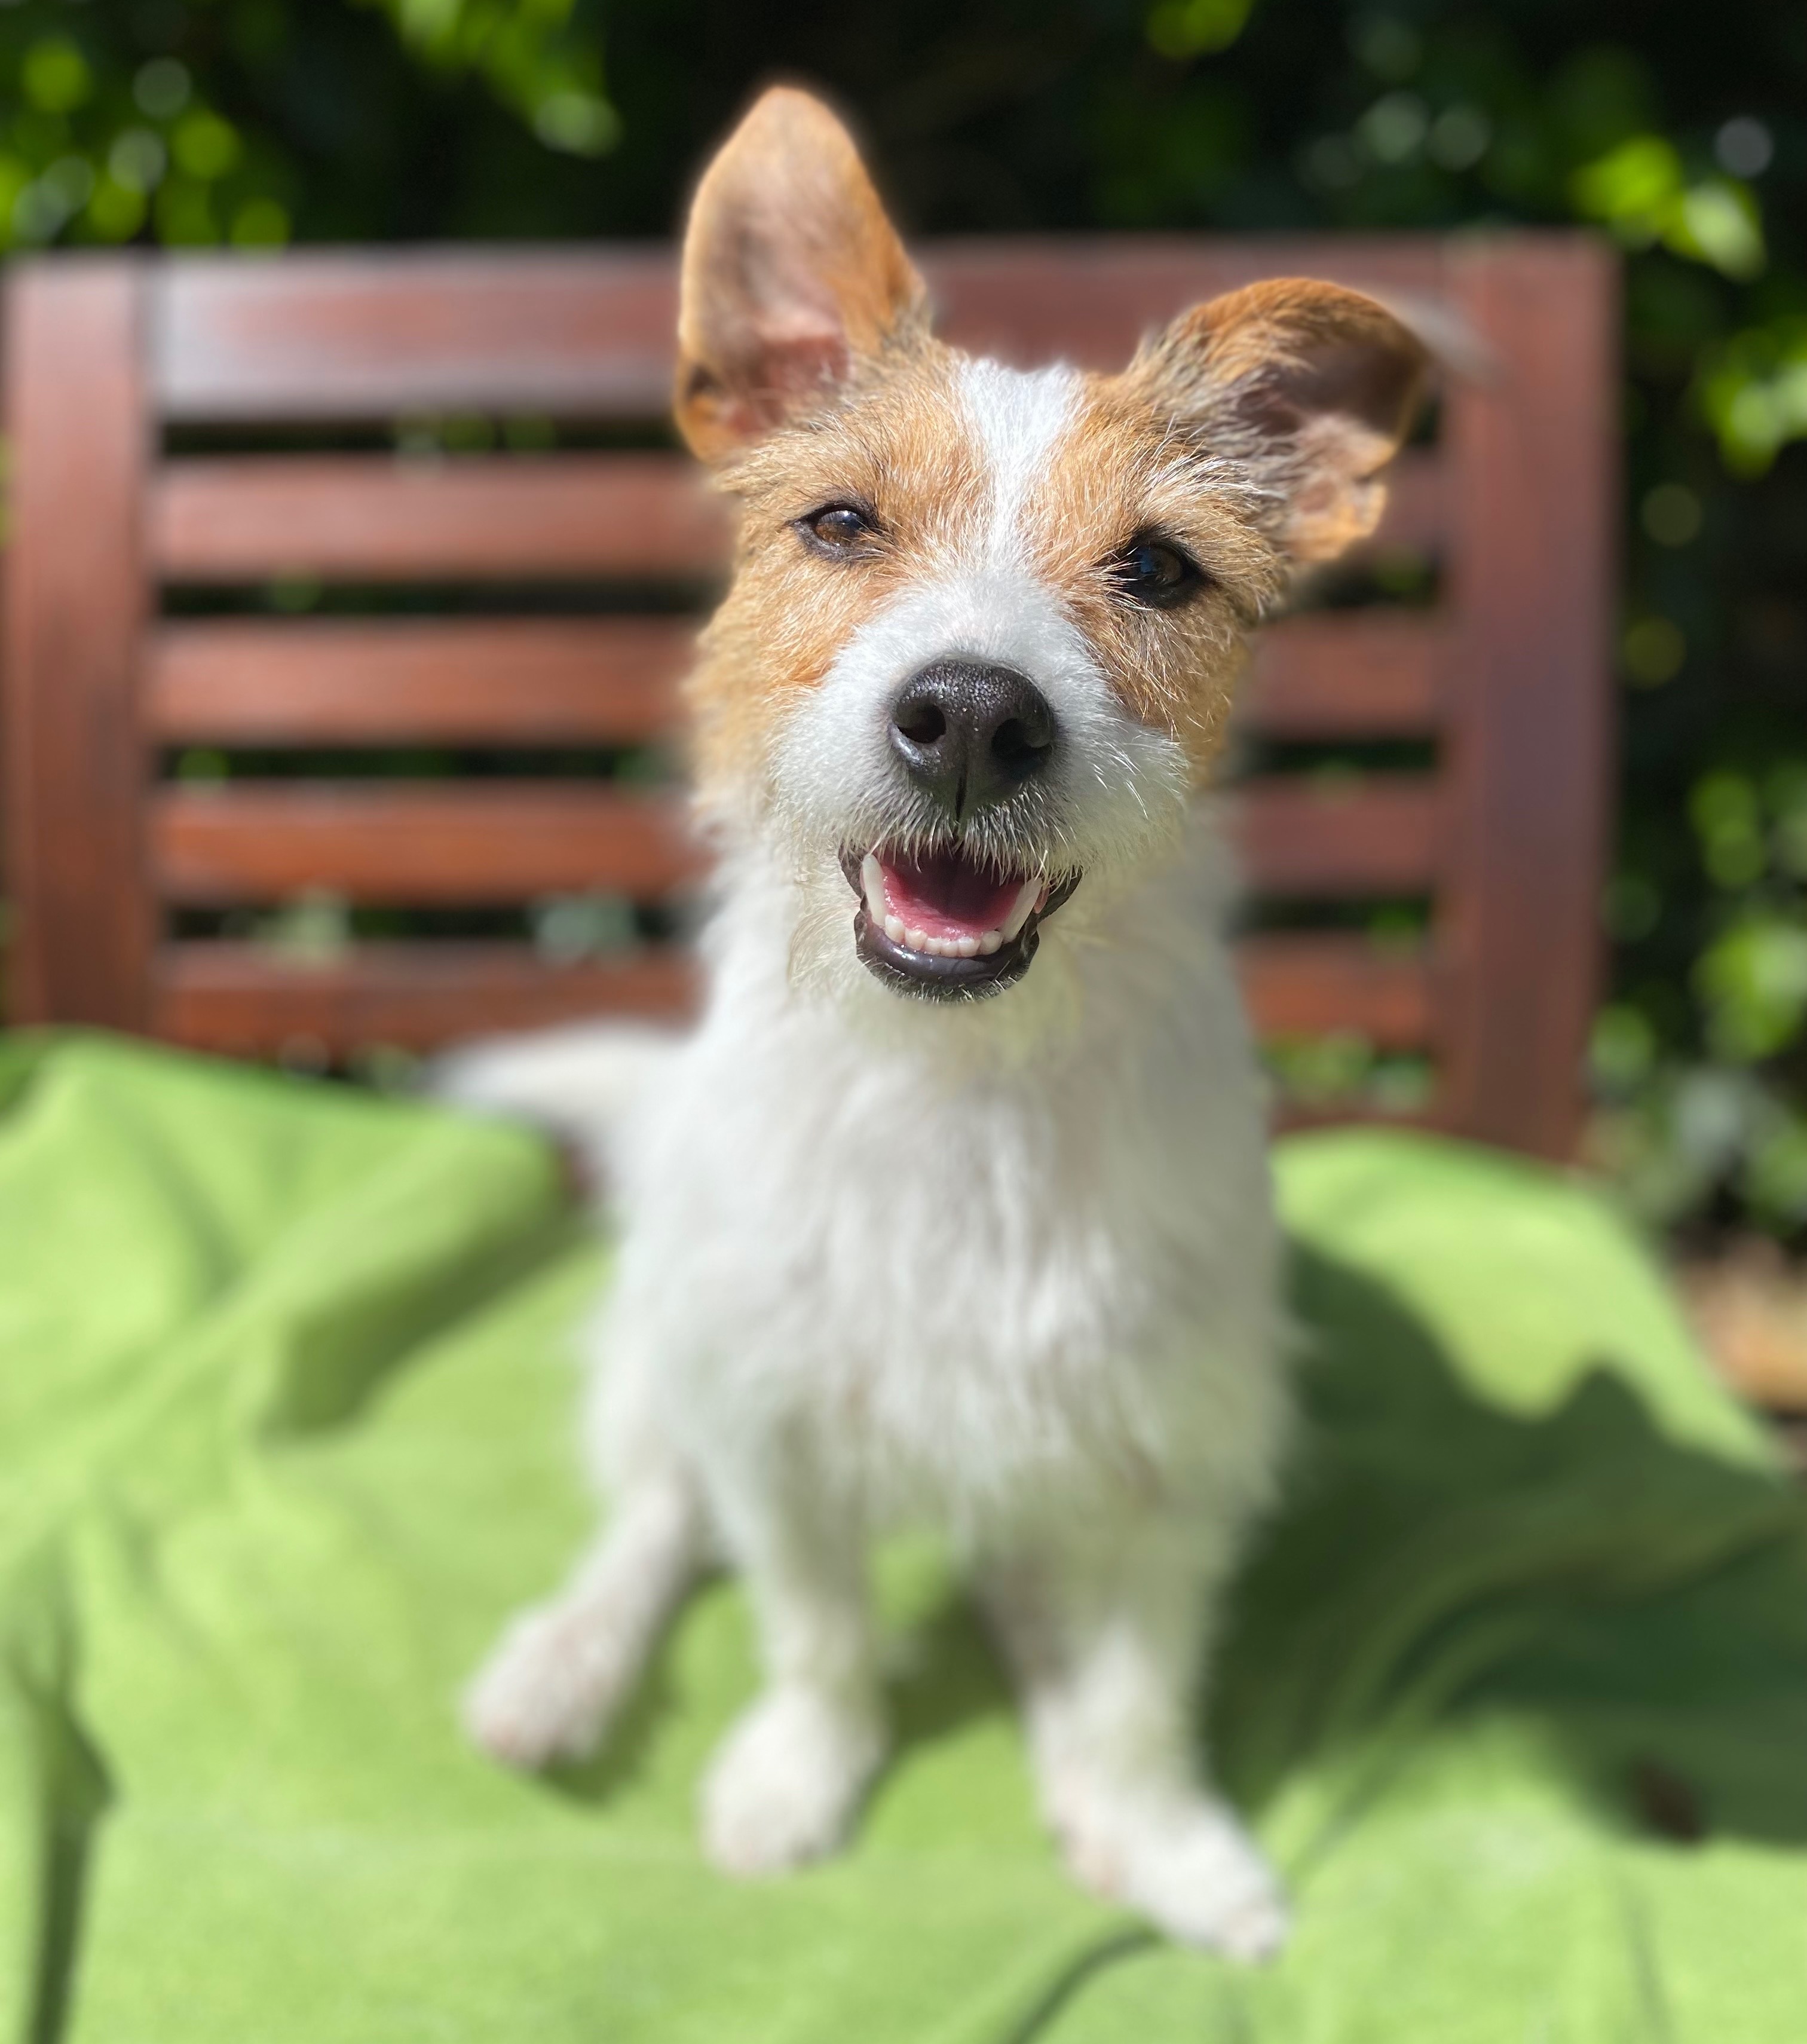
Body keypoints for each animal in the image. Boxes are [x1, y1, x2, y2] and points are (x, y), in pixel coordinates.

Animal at [445, 88, 1422, 1954]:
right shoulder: (770, 1417)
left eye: (1161, 567)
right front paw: (793, 1779)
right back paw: (560, 1666)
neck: (965, 1087)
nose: (972, 713)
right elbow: (814, 1626)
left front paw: (1160, 1833)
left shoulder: (1177, 1457)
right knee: (649, 1520)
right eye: (839, 525)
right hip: (665, 1343)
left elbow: (1138, 1688)